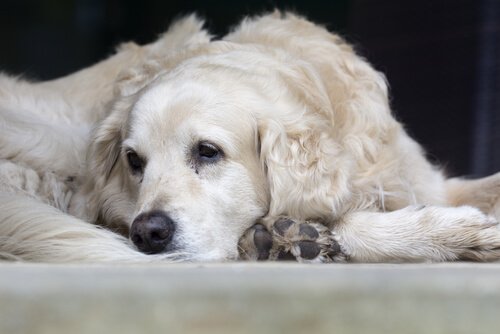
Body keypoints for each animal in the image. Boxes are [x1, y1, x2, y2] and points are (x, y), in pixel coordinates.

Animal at [0, 12, 500, 264]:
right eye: (134, 162)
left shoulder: (418, 178)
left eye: (207, 152)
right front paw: (460, 234)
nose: (148, 233)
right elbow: (348, 220)